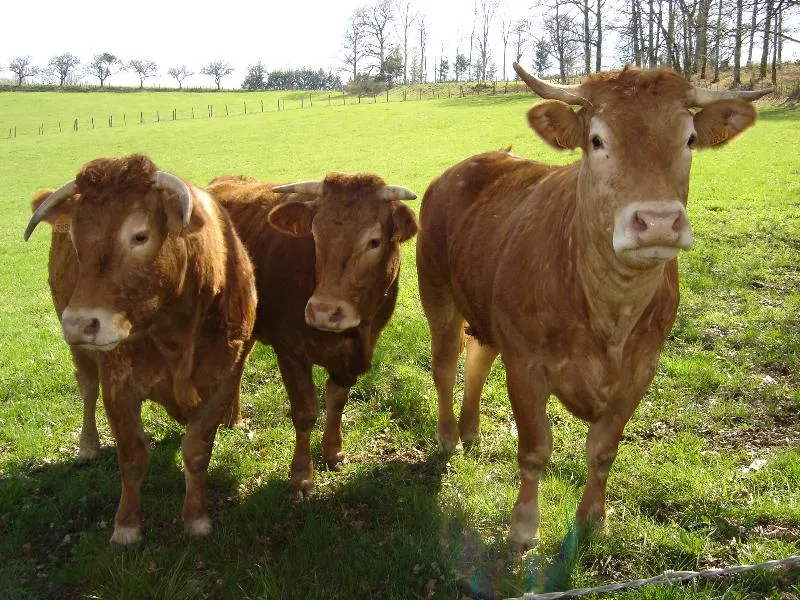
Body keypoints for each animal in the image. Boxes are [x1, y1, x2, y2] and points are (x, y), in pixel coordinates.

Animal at [25, 154, 256, 544]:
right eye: (75, 236)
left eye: (140, 236)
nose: (78, 323)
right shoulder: (118, 386)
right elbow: (132, 455)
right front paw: (127, 526)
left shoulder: (222, 380)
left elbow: (197, 451)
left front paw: (197, 517)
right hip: (82, 353)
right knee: (87, 389)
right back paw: (87, 445)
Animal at [206, 172, 418, 496]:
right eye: (315, 237)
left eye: (374, 241)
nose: (323, 312)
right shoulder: (290, 352)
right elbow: (305, 413)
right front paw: (302, 476)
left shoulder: (353, 357)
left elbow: (337, 401)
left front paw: (333, 452)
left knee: (238, 365)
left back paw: (234, 419)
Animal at [416, 63, 772, 548]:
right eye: (597, 140)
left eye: (689, 139)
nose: (658, 222)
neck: (610, 316)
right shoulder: (526, 365)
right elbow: (535, 449)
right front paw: (524, 526)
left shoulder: (641, 370)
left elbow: (603, 450)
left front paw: (592, 520)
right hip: (437, 293)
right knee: (445, 366)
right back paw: (449, 436)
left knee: (478, 360)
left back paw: (470, 432)